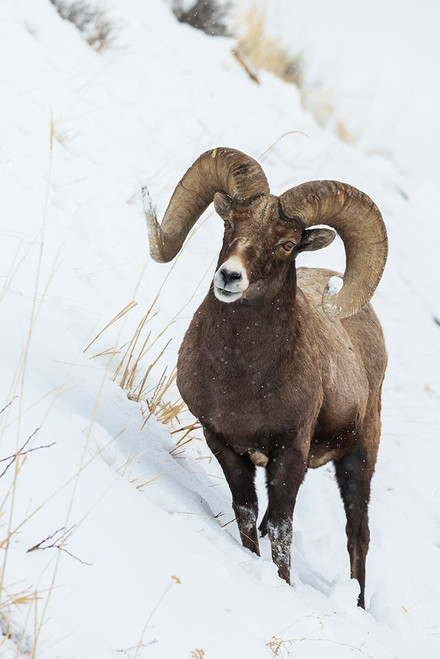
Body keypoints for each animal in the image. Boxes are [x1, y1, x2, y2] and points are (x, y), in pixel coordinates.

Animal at [144, 147, 388, 608]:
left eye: (287, 243)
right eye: (229, 225)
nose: (229, 277)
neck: (242, 377)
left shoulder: (290, 453)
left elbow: (281, 526)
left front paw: (282, 584)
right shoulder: (222, 442)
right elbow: (248, 513)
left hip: (359, 457)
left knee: (358, 534)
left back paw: (358, 605)